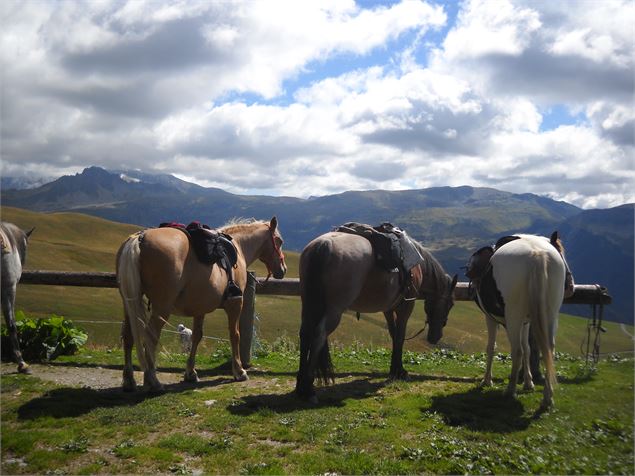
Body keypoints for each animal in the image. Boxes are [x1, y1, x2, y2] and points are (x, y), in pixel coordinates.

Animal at [117, 216, 288, 390]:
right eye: (279, 241)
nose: (283, 269)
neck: (238, 247)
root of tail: (139, 238)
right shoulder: (235, 303)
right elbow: (235, 335)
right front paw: (239, 371)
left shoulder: (200, 308)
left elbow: (196, 336)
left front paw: (191, 373)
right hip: (162, 308)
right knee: (151, 336)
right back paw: (153, 380)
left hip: (128, 302)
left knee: (128, 336)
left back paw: (129, 380)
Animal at [296, 231, 458, 402]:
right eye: (450, 304)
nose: (435, 337)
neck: (418, 266)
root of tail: (324, 243)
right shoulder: (406, 307)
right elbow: (400, 337)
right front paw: (400, 371)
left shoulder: (388, 309)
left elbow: (393, 335)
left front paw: (394, 369)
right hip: (335, 310)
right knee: (318, 335)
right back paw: (309, 389)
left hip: (308, 304)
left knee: (305, 334)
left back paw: (300, 386)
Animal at [472, 233, 572, 410]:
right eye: (561, 253)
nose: (571, 287)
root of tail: (537, 255)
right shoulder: (526, 323)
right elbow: (528, 349)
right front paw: (528, 383)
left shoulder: (490, 318)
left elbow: (492, 347)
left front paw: (487, 380)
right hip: (550, 315)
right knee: (548, 350)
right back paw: (547, 398)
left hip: (514, 316)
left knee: (516, 351)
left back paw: (510, 390)